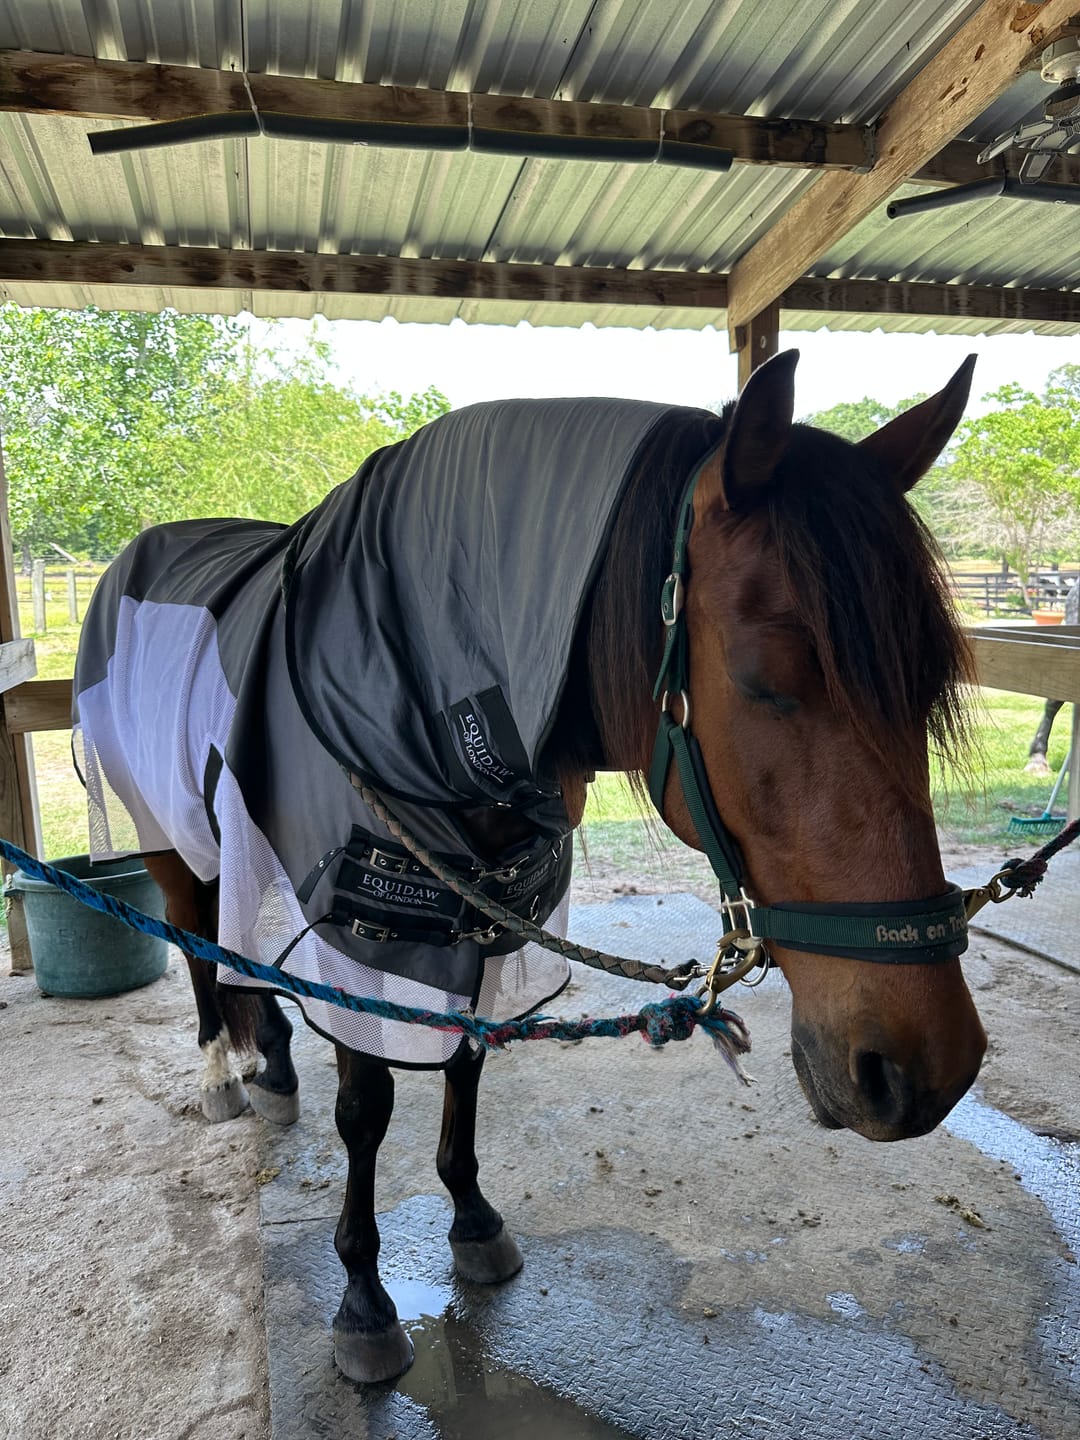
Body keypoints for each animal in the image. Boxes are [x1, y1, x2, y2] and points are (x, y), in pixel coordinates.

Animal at [71, 350, 986, 1385]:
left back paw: (270, 1065)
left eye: (931, 681)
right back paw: (222, 1077)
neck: (408, 683)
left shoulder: (485, 919)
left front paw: (472, 1221)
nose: (926, 1070)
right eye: (766, 678)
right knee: (196, 950)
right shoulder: (357, 938)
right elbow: (368, 1106)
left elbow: (469, 1060)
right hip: (166, 839)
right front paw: (363, 1300)